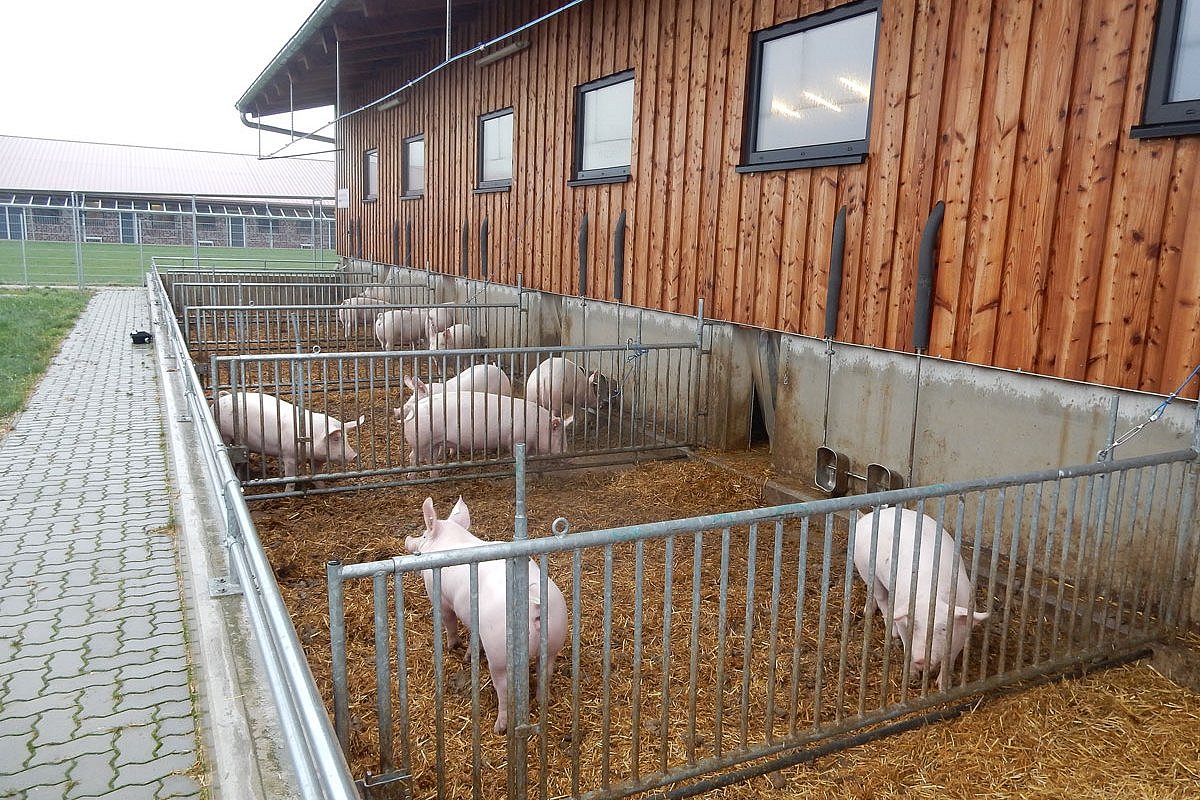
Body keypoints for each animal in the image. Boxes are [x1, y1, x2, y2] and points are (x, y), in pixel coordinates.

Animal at [216, 388, 362, 491]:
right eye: (336, 439)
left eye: (346, 438)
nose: (354, 455)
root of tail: (223, 397)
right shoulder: (289, 456)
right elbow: (291, 478)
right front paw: (288, 493)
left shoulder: (316, 460)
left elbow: (317, 476)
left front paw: (323, 489)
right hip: (225, 435)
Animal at [400, 391, 573, 465]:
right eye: (559, 435)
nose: (566, 452)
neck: (539, 426)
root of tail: (412, 410)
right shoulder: (515, 439)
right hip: (420, 442)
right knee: (412, 457)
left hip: (433, 443)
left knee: (430, 459)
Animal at [405, 496, 568, 734]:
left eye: (425, 535)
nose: (408, 540)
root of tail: (533, 603)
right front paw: (468, 655)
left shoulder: (440, 597)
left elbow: (449, 622)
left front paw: (452, 647)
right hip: (554, 637)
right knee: (544, 673)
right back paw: (541, 700)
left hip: (500, 653)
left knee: (504, 689)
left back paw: (499, 727)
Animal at [854, 510, 993, 690]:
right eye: (915, 625)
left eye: (943, 628)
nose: (921, 659)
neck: (930, 595)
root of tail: (868, 515)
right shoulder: (904, 621)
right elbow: (907, 646)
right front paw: (912, 677)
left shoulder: (962, 630)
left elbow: (950, 658)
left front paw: (942, 686)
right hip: (866, 569)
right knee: (882, 598)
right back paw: (888, 631)